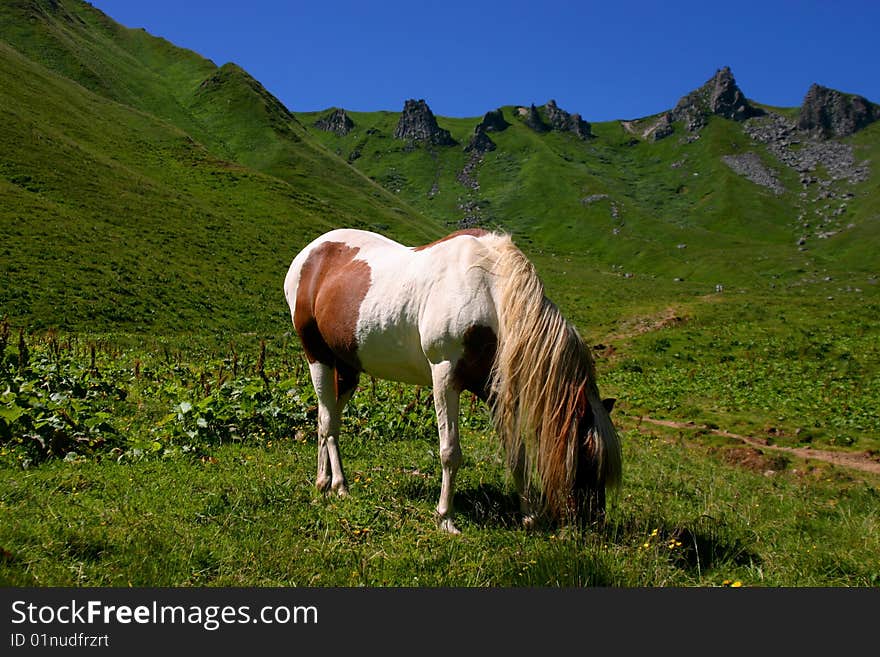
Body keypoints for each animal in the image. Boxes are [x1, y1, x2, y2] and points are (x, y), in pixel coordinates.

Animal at [282, 228, 620, 532]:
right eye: (587, 458)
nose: (595, 522)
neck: (491, 294)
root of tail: (308, 255)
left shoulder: (496, 391)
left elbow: (517, 453)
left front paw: (529, 516)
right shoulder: (444, 377)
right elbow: (450, 452)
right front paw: (445, 518)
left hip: (347, 368)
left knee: (327, 419)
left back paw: (324, 482)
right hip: (318, 357)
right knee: (328, 423)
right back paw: (338, 485)